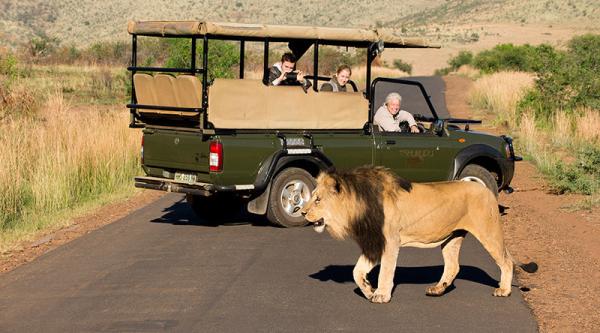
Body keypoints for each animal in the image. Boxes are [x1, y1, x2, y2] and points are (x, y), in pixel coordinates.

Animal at [302, 165, 536, 302]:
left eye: (318, 200)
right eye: (312, 196)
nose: (302, 212)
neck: (358, 207)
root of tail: (487, 189)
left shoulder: (389, 241)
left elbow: (386, 271)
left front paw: (381, 294)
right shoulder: (375, 242)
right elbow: (357, 271)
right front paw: (368, 290)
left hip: (488, 231)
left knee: (506, 261)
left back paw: (503, 290)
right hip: (452, 237)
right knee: (453, 266)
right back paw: (437, 289)